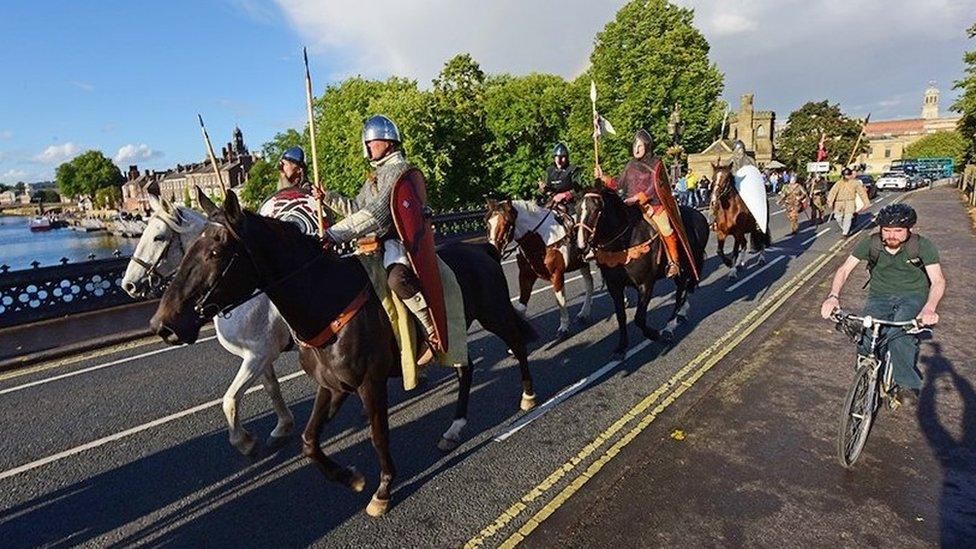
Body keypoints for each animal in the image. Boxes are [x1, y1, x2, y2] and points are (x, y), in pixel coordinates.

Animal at [120, 195, 294, 456]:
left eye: (158, 237)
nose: (128, 284)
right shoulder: (263, 355)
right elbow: (272, 389)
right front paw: (282, 427)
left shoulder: (257, 355)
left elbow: (230, 400)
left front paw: (244, 441)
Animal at [151, 191, 540, 516]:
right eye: (188, 249)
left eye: (215, 252)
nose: (163, 324)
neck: (326, 301)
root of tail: (484, 250)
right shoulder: (332, 385)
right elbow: (308, 441)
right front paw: (349, 476)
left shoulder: (368, 383)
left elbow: (378, 434)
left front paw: (383, 490)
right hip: (455, 333)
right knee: (465, 368)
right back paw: (455, 428)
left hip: (494, 313)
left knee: (517, 344)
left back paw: (528, 397)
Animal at [576, 186, 704, 358]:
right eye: (577, 209)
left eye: (597, 209)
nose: (581, 245)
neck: (624, 243)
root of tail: (700, 215)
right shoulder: (614, 286)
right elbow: (621, 316)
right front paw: (622, 346)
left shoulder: (645, 284)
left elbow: (639, 318)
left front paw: (655, 334)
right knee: (682, 291)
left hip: (688, 267)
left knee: (680, 295)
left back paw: (670, 326)